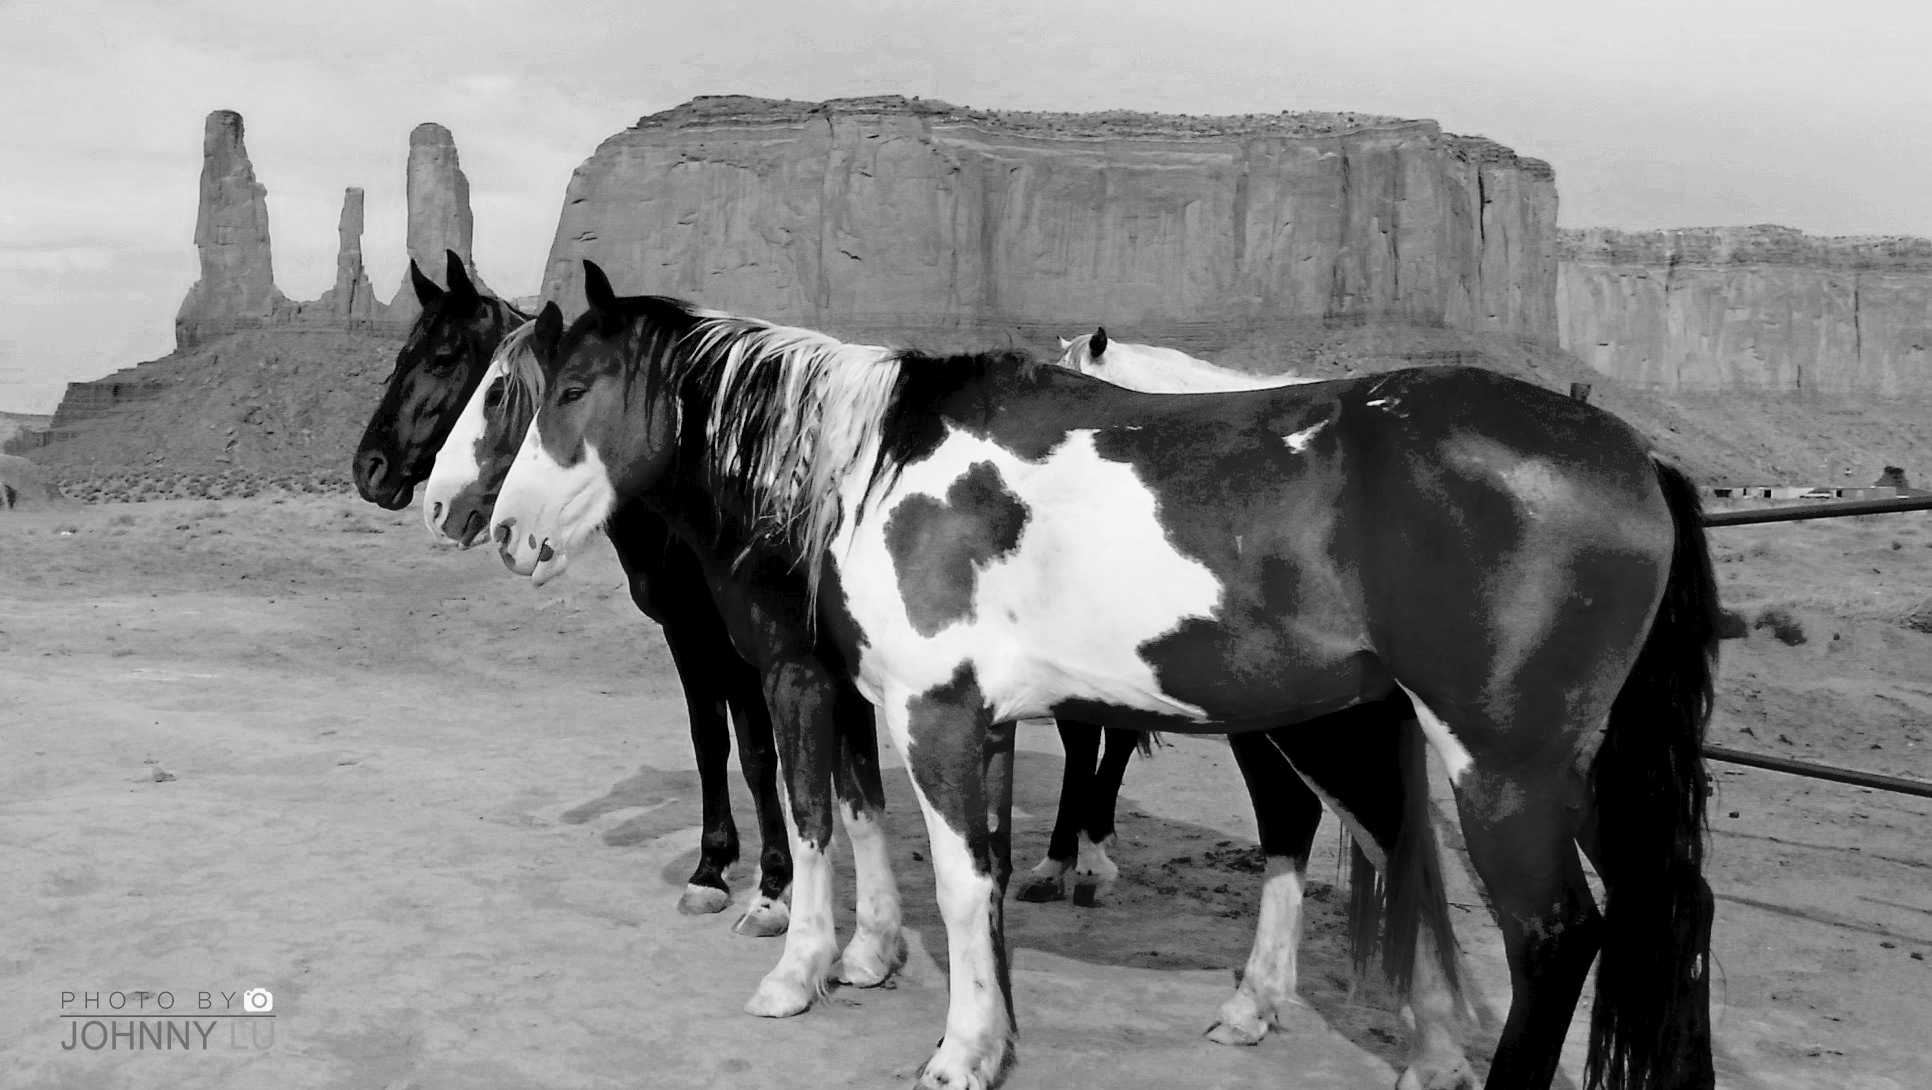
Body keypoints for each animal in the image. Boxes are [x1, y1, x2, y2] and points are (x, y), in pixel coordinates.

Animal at [490, 264, 1715, 1090]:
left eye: (576, 385)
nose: (506, 531)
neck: (870, 464)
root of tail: (1633, 455)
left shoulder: (921, 711)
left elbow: (896, 852)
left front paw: (918, 1031)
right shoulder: (960, 717)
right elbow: (966, 873)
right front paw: (970, 1023)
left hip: (1501, 766)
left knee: (1554, 935)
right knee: (1640, 905)